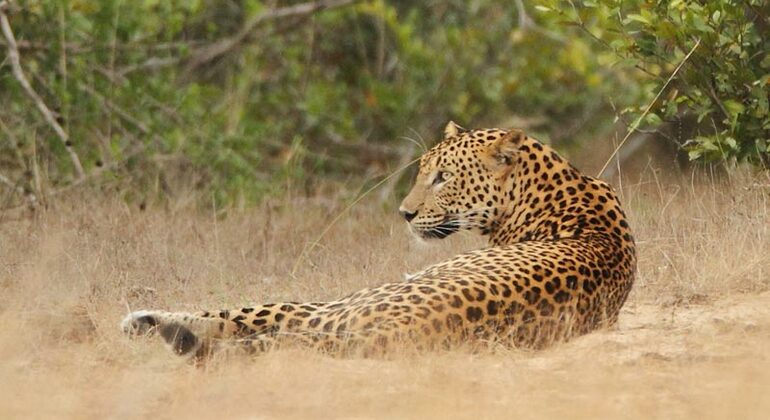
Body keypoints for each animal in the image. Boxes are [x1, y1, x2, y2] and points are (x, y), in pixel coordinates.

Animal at [121, 121, 636, 358]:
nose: (404, 214)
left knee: (254, 315)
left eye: (443, 177)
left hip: (343, 303)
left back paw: (143, 323)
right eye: (422, 170)